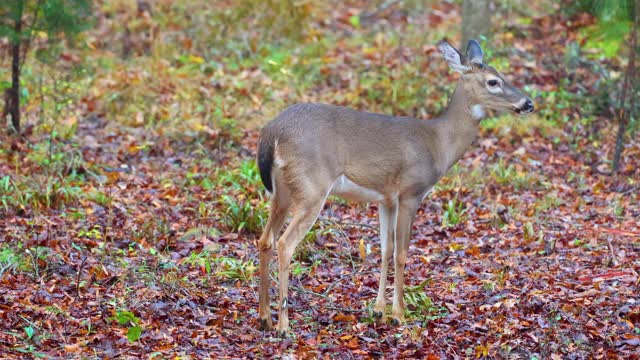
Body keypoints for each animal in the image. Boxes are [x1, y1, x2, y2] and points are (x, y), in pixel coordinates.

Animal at [255, 39, 536, 334]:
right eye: (493, 81)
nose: (528, 103)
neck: (439, 143)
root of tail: (272, 133)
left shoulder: (386, 199)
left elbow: (385, 249)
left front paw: (379, 310)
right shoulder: (410, 191)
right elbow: (402, 253)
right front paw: (399, 314)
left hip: (282, 191)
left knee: (265, 239)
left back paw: (264, 317)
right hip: (312, 186)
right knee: (285, 243)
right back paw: (284, 324)